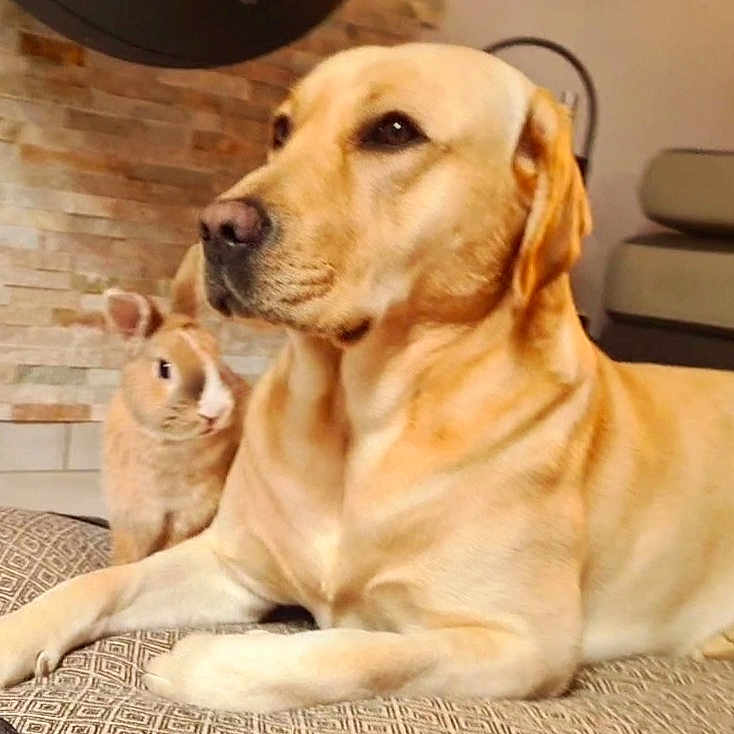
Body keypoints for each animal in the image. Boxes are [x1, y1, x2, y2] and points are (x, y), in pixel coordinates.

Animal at [102, 244, 248, 565]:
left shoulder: (191, 513)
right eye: (164, 368)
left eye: (220, 361)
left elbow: (168, 549)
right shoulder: (134, 514)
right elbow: (130, 553)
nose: (214, 413)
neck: (168, 445)